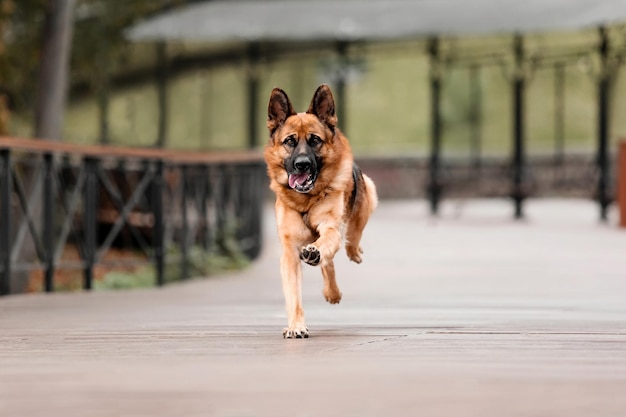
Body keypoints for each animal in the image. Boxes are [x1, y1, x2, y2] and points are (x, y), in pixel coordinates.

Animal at [262, 84, 376, 338]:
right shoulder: (290, 253)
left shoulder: (330, 228)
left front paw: (316, 252)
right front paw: (296, 326)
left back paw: (352, 253)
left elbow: (326, 244)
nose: (302, 164)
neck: (306, 200)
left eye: (315, 140)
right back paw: (331, 292)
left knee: (351, 238)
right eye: (290, 141)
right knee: (329, 262)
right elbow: (293, 295)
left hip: (367, 198)